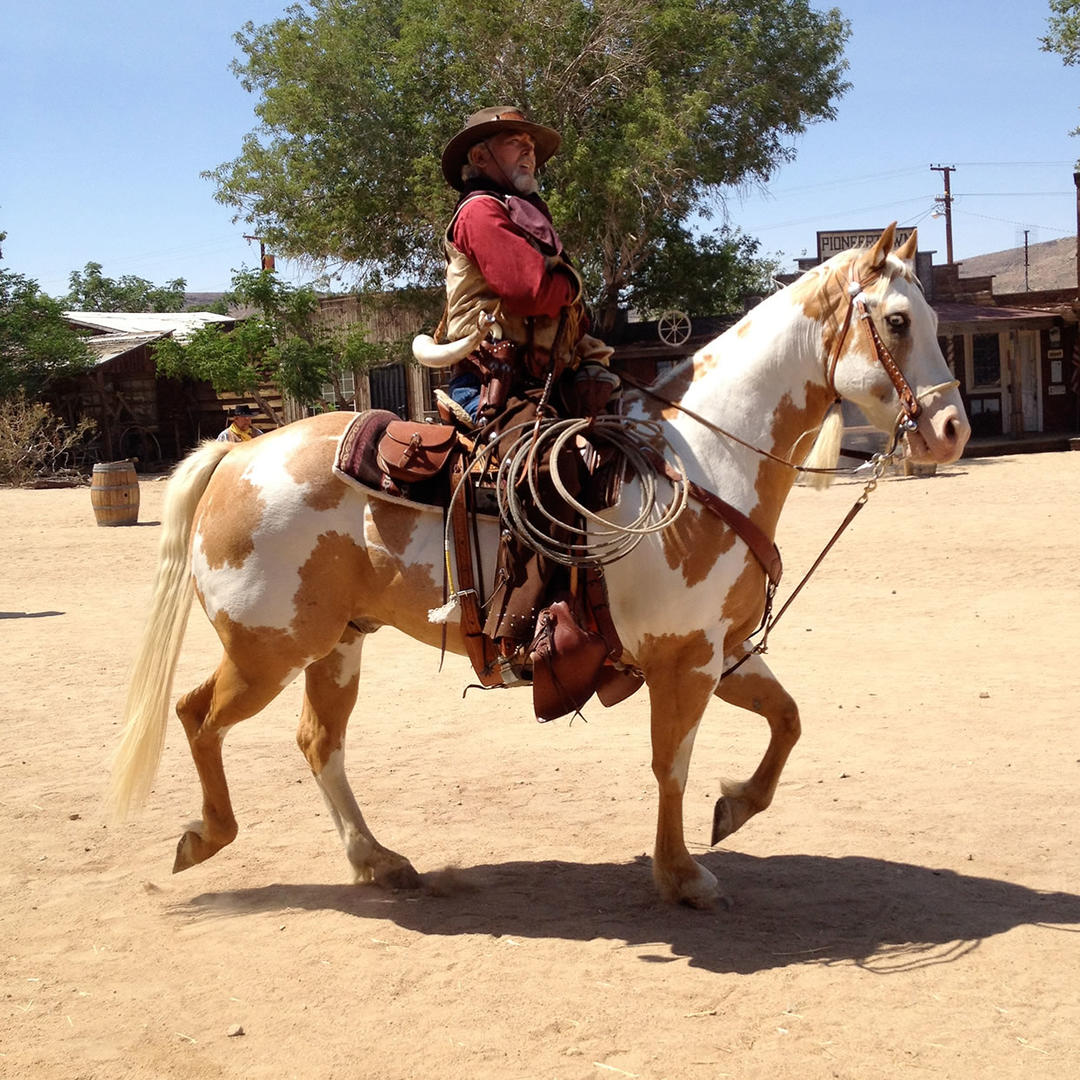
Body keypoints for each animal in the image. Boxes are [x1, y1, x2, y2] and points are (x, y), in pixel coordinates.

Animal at [109, 223, 972, 907]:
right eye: (898, 321)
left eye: (933, 319)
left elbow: (787, 721)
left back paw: (378, 861)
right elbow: (671, 765)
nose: (953, 430)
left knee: (318, 742)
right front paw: (681, 874)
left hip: (337, 646)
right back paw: (205, 837)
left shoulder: (721, 652)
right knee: (197, 715)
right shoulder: (683, 661)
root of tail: (238, 452)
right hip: (268, 649)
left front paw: (734, 809)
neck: (702, 461)